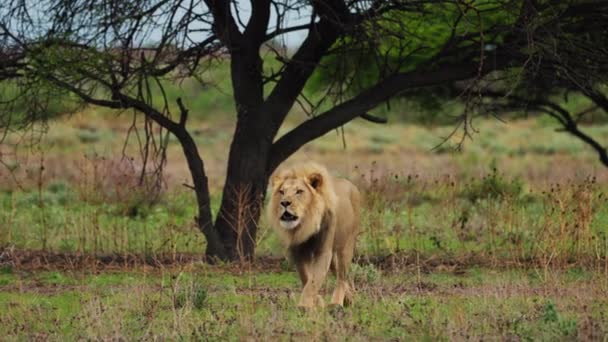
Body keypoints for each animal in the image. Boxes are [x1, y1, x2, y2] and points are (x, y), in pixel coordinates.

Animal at [268, 162, 360, 308]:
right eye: (282, 191)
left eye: (299, 191)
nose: (284, 202)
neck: (305, 224)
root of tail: (351, 184)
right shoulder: (298, 253)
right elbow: (307, 278)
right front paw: (317, 302)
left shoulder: (323, 251)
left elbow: (313, 281)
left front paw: (304, 306)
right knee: (340, 274)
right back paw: (350, 299)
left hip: (346, 245)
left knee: (342, 276)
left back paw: (336, 303)